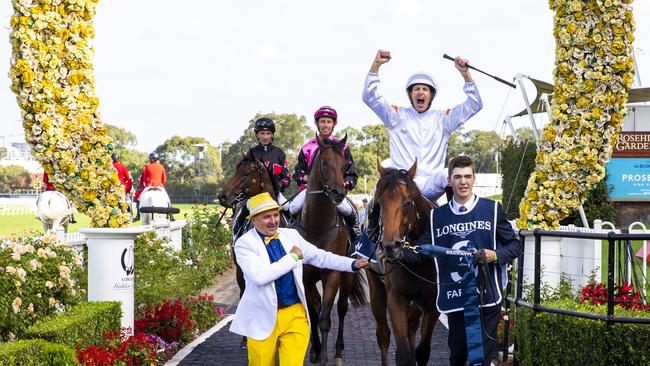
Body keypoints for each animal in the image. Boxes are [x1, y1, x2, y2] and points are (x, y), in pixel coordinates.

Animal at [296, 135, 368, 366]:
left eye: (345, 165)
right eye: (325, 163)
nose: (338, 193)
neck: (318, 226)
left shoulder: (332, 274)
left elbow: (326, 318)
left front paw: (325, 357)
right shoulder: (306, 275)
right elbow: (313, 313)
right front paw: (315, 351)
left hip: (347, 276)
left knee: (342, 308)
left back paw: (338, 352)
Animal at [364, 162, 440, 364]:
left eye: (407, 202)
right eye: (379, 203)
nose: (390, 247)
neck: (418, 260)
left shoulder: (432, 303)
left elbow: (423, 351)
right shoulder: (396, 298)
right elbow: (403, 353)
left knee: (411, 327)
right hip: (375, 287)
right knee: (383, 335)